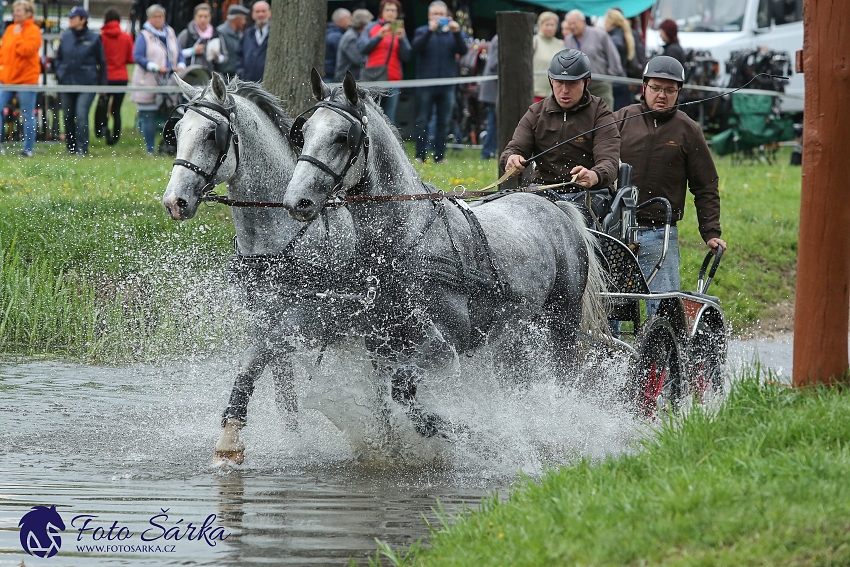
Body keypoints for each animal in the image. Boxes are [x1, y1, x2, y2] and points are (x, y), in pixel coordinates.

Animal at [161, 73, 356, 466]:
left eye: (212, 134)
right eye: (177, 131)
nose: (174, 201)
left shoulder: (305, 316)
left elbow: (253, 362)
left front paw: (229, 441)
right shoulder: (263, 316)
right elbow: (283, 390)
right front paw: (294, 440)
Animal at [282, 71, 608, 442]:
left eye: (341, 137)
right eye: (305, 132)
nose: (297, 201)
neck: (403, 243)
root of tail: (553, 205)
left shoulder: (446, 345)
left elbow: (403, 387)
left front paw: (455, 427)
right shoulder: (380, 345)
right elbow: (389, 400)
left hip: (563, 322)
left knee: (563, 375)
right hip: (517, 331)